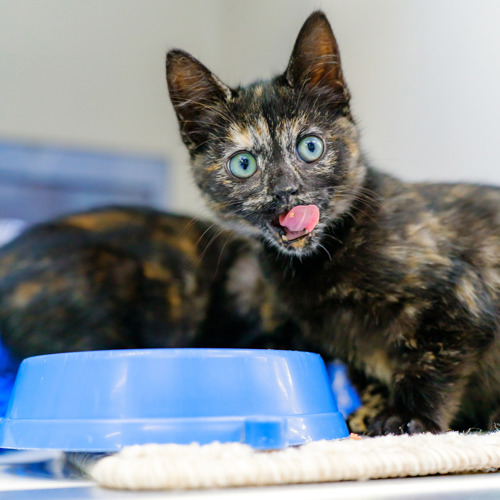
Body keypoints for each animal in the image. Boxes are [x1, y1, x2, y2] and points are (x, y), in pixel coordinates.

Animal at [0, 10, 500, 434]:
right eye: (243, 165)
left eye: (310, 147)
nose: (285, 191)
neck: (315, 268)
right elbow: (379, 375)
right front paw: (369, 420)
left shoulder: (457, 298)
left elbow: (431, 360)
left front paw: (408, 419)